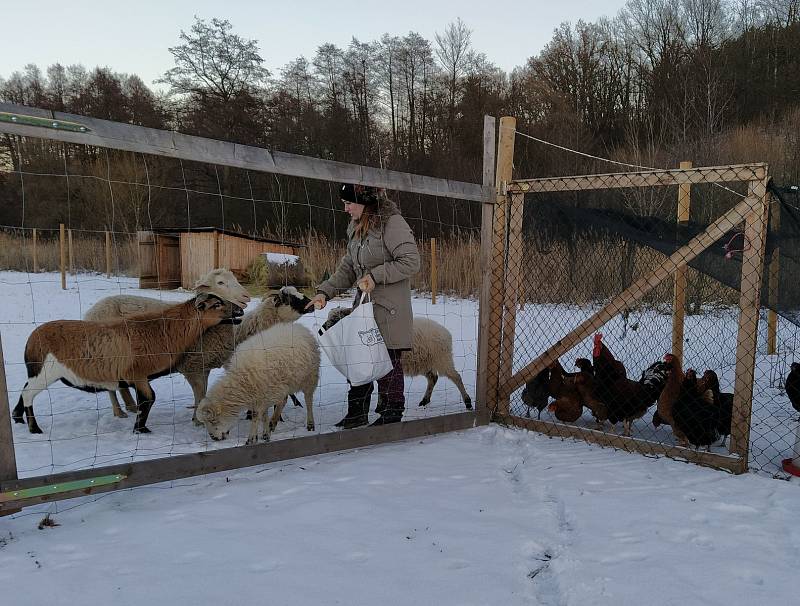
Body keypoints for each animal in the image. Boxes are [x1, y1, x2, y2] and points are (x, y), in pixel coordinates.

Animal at [14, 296, 242, 434]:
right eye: (217, 304)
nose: (239, 310)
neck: (163, 331)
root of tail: (32, 339)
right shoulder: (137, 374)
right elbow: (148, 399)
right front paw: (140, 429)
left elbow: (147, 399)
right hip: (46, 371)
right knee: (28, 394)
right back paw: (34, 428)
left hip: (37, 371)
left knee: (24, 389)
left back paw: (17, 418)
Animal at [84, 268, 250, 420]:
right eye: (220, 282)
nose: (247, 297)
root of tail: (90, 313)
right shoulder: (191, 365)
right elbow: (200, 392)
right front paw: (197, 419)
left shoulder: (206, 363)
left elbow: (205, 391)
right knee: (110, 387)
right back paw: (119, 411)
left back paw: (131, 406)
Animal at [326, 306, 476, 410]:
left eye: (336, 319)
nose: (324, 329)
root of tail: (446, 332)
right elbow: (382, 388)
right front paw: (380, 407)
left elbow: (383, 389)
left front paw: (380, 407)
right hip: (424, 362)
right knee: (433, 378)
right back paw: (424, 401)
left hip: (442, 358)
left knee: (456, 377)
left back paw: (467, 402)